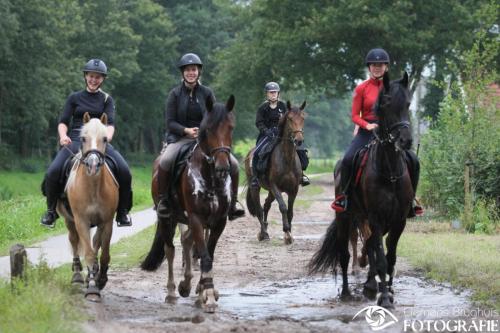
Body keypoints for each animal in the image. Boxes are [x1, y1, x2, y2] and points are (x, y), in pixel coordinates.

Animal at [57, 112, 118, 300]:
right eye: (83, 138)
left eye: (105, 139)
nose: (92, 165)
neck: (93, 188)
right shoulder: (81, 221)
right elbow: (89, 254)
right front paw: (92, 287)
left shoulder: (106, 222)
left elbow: (104, 254)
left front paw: (101, 279)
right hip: (69, 220)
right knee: (74, 241)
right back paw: (78, 275)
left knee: (95, 243)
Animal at [143, 94, 238, 312]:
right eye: (208, 129)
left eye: (230, 128)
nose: (222, 167)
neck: (210, 177)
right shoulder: (196, 218)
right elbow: (203, 255)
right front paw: (208, 296)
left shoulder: (218, 221)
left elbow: (208, 255)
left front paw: (202, 291)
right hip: (167, 218)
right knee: (170, 250)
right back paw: (171, 292)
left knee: (186, 242)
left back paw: (186, 285)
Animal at [244, 100, 306, 243]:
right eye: (290, 119)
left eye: (303, 118)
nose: (298, 140)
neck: (287, 158)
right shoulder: (275, 186)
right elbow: (283, 207)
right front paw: (287, 232)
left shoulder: (294, 189)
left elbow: (290, 211)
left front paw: (289, 234)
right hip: (256, 187)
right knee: (259, 209)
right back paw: (263, 234)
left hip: (271, 192)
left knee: (266, 205)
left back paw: (265, 229)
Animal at [308, 71, 414, 308]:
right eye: (387, 104)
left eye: (408, 104)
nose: (406, 140)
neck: (389, 172)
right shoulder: (376, 217)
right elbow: (381, 258)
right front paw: (384, 298)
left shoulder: (399, 220)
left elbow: (390, 258)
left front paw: (388, 291)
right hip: (345, 216)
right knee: (345, 254)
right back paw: (348, 292)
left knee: (369, 245)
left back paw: (369, 283)